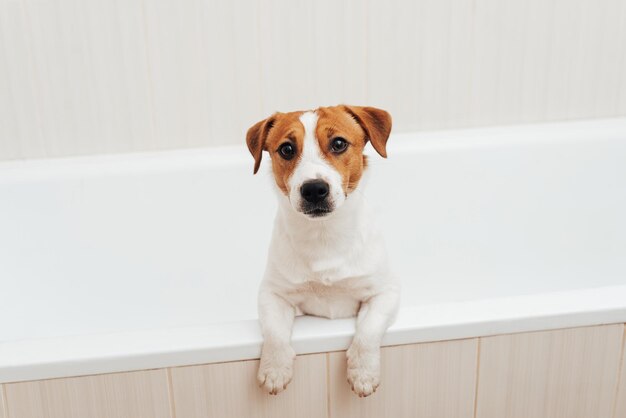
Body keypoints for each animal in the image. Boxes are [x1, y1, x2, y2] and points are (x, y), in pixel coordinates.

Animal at [245, 105, 398, 398]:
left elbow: (368, 331)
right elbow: (275, 333)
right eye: (287, 149)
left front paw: (363, 372)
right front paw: (274, 368)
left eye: (338, 143)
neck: (324, 235)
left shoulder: (383, 293)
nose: (314, 189)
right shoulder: (273, 293)